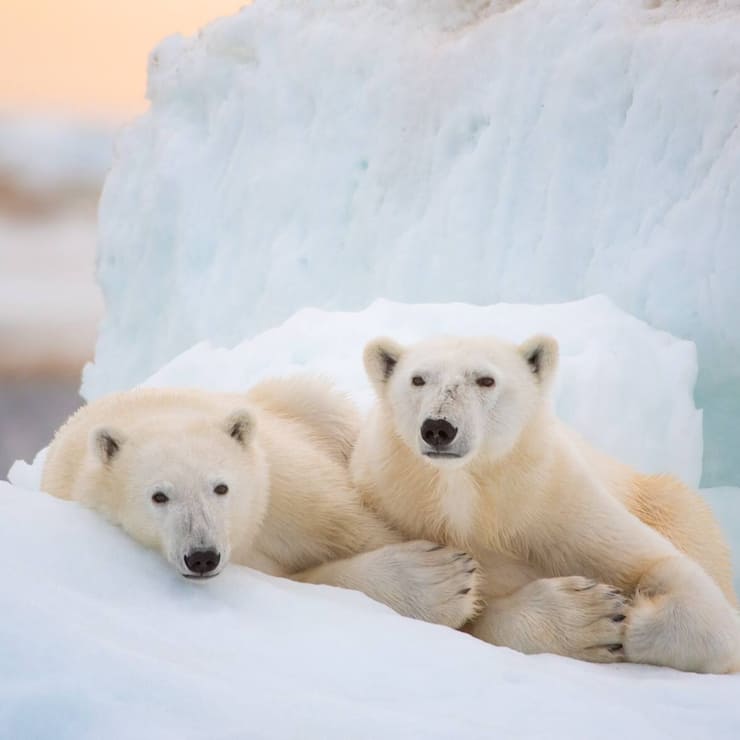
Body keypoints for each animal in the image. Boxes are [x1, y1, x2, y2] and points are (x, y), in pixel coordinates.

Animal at [41, 376, 480, 629]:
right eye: (159, 496)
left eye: (221, 488)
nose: (202, 556)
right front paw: (442, 581)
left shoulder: (286, 487)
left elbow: (359, 528)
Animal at [351, 333, 740, 673]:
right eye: (417, 379)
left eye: (486, 380)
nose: (438, 428)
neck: (471, 498)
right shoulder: (399, 505)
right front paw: (591, 615)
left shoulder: (554, 502)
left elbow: (661, 564)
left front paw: (630, 615)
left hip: (663, 501)